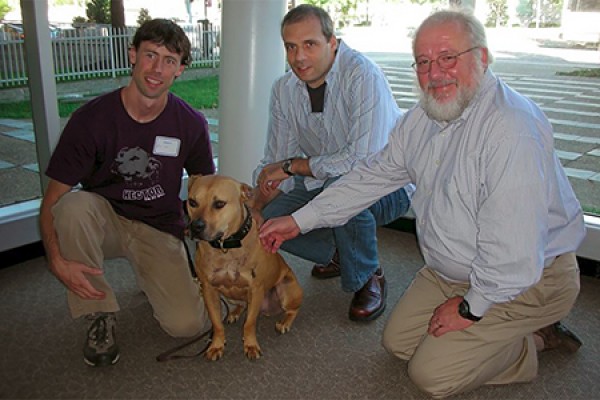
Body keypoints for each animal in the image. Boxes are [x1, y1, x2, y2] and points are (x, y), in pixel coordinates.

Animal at [186, 173, 302, 360]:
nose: (195, 227)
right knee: (241, 305)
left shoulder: (256, 289)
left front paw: (250, 345)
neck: (226, 246)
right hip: (228, 295)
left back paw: (284, 322)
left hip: (287, 289)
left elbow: (249, 323)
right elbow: (216, 324)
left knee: (293, 310)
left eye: (219, 204)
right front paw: (216, 345)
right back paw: (234, 313)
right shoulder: (209, 290)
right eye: (192, 202)